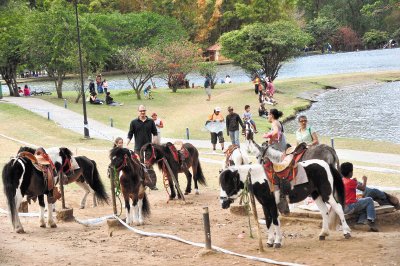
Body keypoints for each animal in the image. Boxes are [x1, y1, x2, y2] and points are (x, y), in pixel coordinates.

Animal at [220, 161, 352, 248]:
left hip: (327, 194)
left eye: (228, 184)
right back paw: (323, 234)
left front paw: (277, 241)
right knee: (324, 211)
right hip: (316, 195)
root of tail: (327, 164)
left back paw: (346, 232)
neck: (261, 179)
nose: (222, 203)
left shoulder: (272, 205)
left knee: (339, 208)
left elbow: (275, 221)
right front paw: (269, 241)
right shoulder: (265, 205)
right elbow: (268, 221)